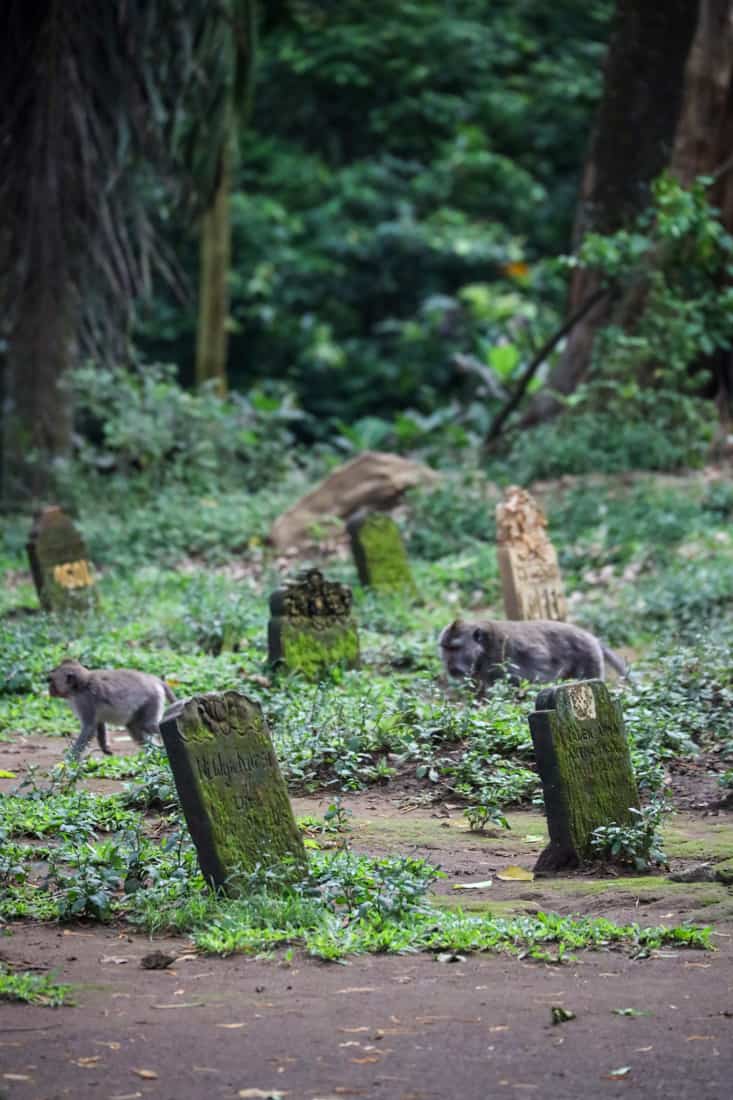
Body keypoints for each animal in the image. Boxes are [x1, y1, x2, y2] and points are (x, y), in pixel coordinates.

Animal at [438, 618, 627, 698]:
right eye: (445, 649)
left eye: (456, 648)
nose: (449, 666)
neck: (484, 648)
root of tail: (591, 637)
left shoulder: (502, 660)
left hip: (589, 657)